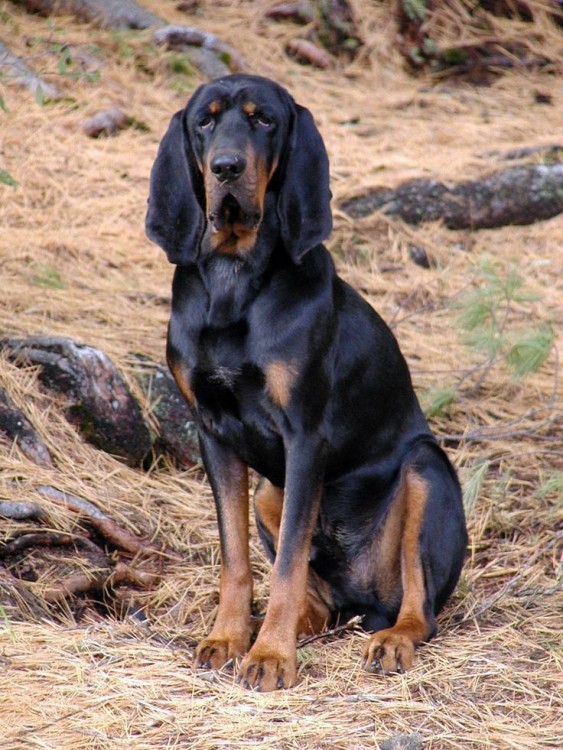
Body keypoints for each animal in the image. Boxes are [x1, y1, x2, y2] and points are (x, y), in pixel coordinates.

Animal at [145, 75, 468, 692]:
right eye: (204, 121)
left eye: (264, 120)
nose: (225, 167)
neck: (234, 277)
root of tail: (364, 597)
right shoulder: (213, 432)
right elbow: (237, 558)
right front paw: (228, 639)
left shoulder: (304, 437)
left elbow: (289, 563)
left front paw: (271, 657)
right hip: (271, 491)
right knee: (317, 601)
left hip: (425, 469)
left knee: (419, 609)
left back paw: (389, 640)